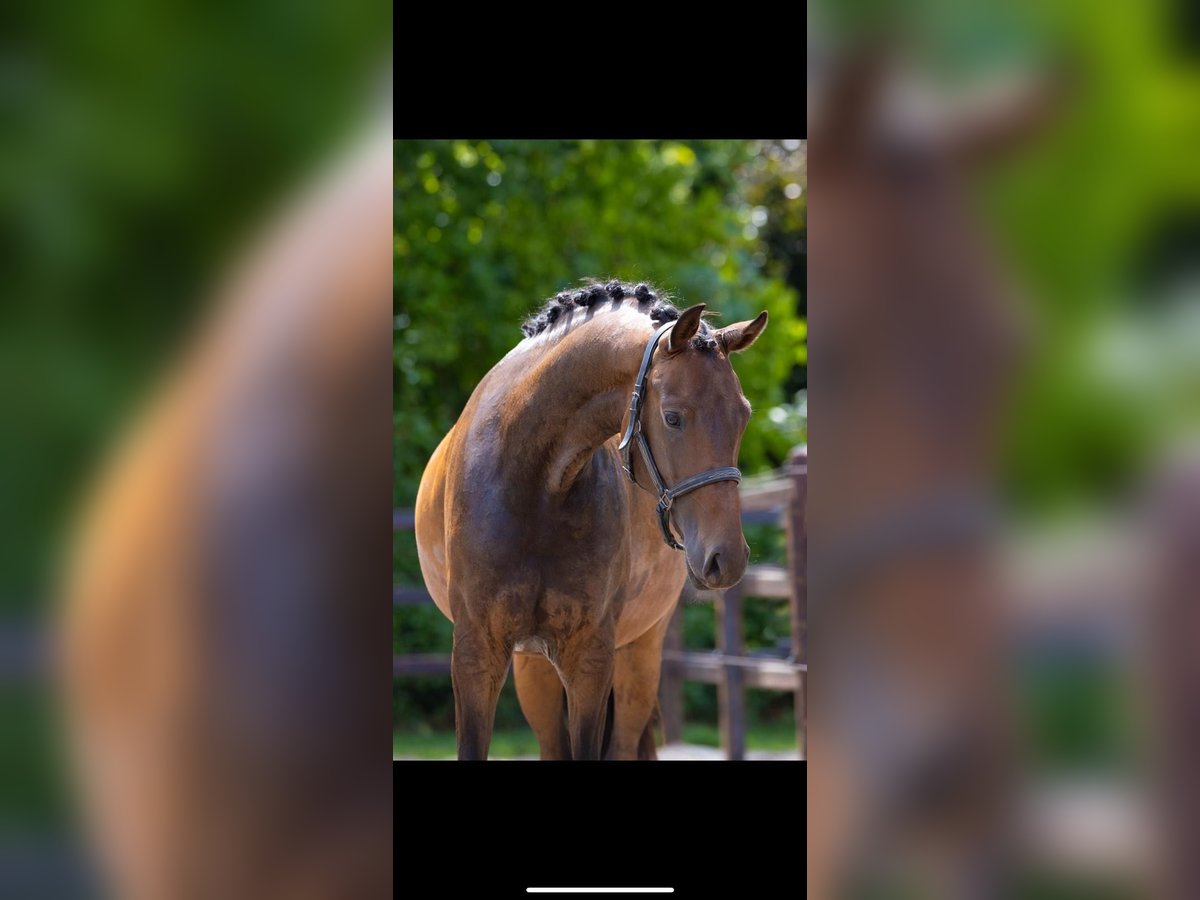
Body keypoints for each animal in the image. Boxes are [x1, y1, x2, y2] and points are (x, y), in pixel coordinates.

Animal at [414, 282, 768, 760]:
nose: (726, 558)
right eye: (673, 417)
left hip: (638, 656)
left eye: (743, 415)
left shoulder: (590, 659)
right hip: (534, 667)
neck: (536, 483)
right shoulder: (475, 652)